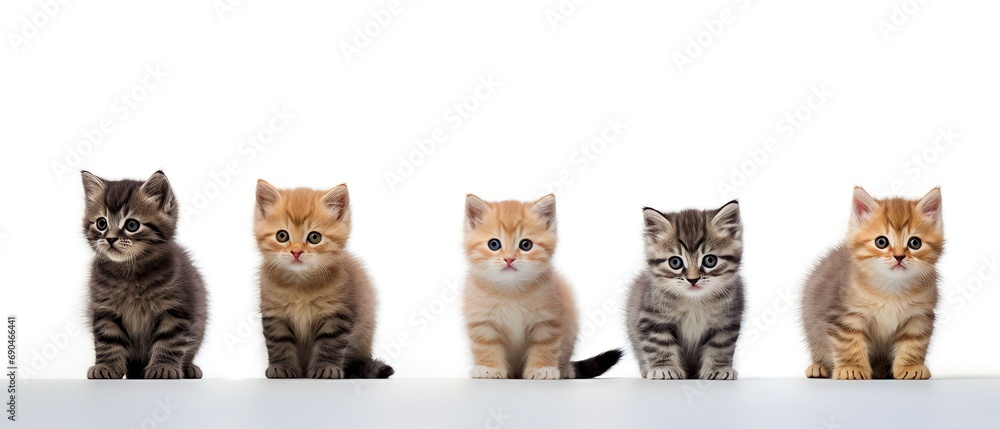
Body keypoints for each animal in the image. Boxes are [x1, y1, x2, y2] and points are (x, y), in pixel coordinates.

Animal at [81, 171, 207, 378]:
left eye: (132, 225)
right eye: (101, 223)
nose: (110, 239)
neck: (130, 273)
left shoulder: (175, 307)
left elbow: (170, 340)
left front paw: (164, 367)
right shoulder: (104, 308)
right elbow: (108, 339)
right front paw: (106, 366)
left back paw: (188, 368)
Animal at [252, 180, 392, 378]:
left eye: (314, 237)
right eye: (282, 235)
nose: (296, 252)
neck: (300, 283)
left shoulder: (337, 314)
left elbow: (329, 343)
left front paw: (327, 368)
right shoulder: (274, 313)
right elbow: (279, 342)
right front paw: (281, 368)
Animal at [462, 194, 620, 378]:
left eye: (526, 245)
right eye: (494, 244)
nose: (509, 259)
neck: (511, 289)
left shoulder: (547, 320)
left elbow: (544, 344)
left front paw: (542, 368)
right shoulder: (482, 321)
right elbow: (485, 344)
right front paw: (489, 368)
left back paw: (565, 370)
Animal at [624, 201, 744, 378]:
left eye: (710, 260)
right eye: (675, 262)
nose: (693, 279)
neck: (694, 300)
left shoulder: (728, 320)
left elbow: (721, 345)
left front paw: (718, 369)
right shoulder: (651, 317)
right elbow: (658, 343)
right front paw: (664, 368)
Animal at [800, 186, 940, 380]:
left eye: (915, 242)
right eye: (881, 242)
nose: (899, 256)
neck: (892, 287)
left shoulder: (918, 316)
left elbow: (913, 342)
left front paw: (911, 367)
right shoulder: (845, 315)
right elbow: (849, 343)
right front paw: (851, 368)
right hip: (812, 325)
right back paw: (818, 367)